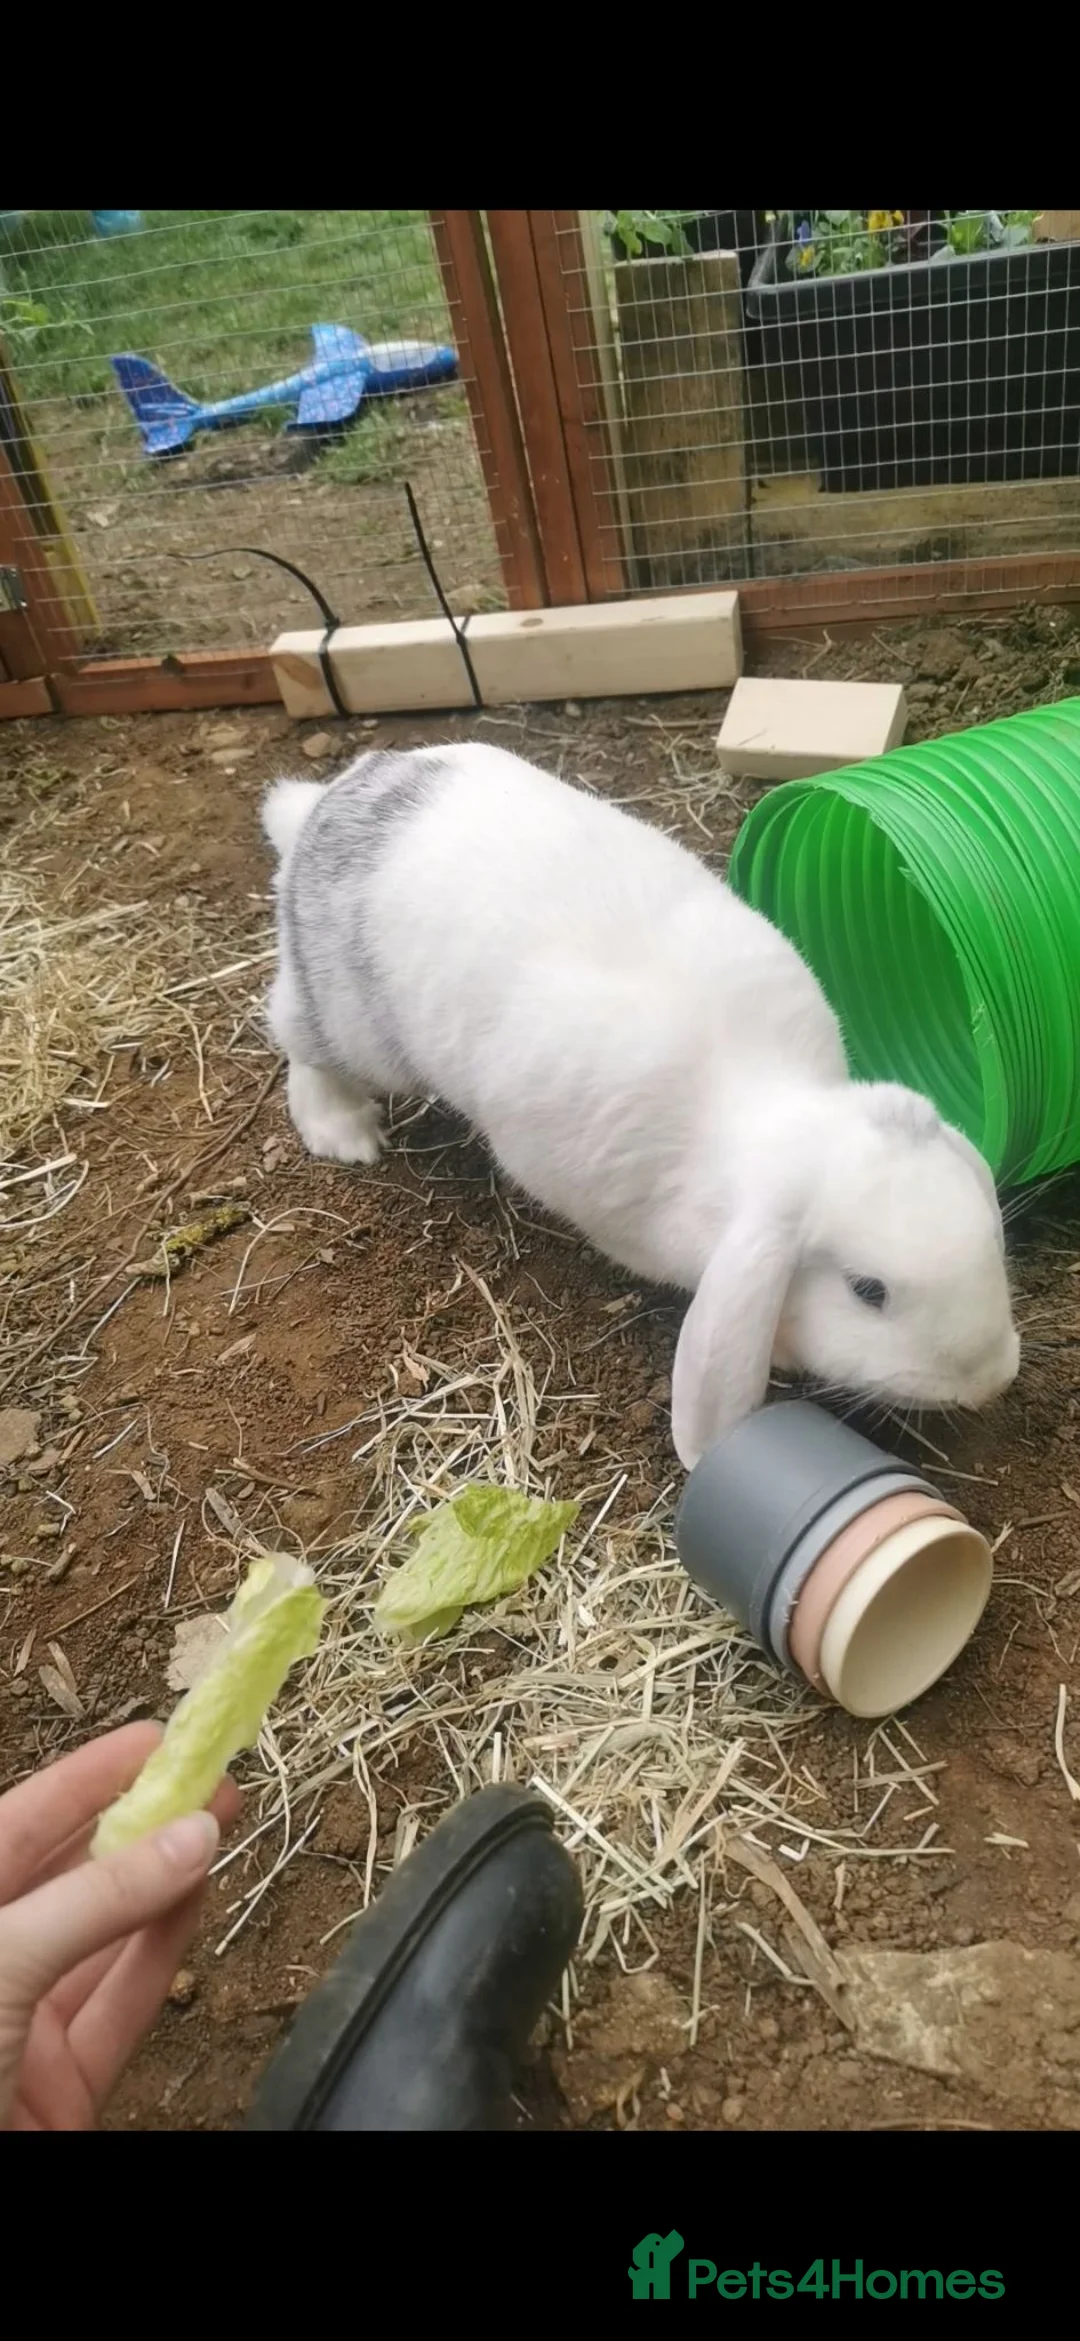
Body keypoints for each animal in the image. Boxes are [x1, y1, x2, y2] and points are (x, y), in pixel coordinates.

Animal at [262, 742, 1020, 1470]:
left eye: (993, 1240)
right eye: (868, 1290)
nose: (988, 1380)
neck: (761, 1110)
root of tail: (326, 803)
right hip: (354, 1028)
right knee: (293, 1031)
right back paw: (342, 1131)